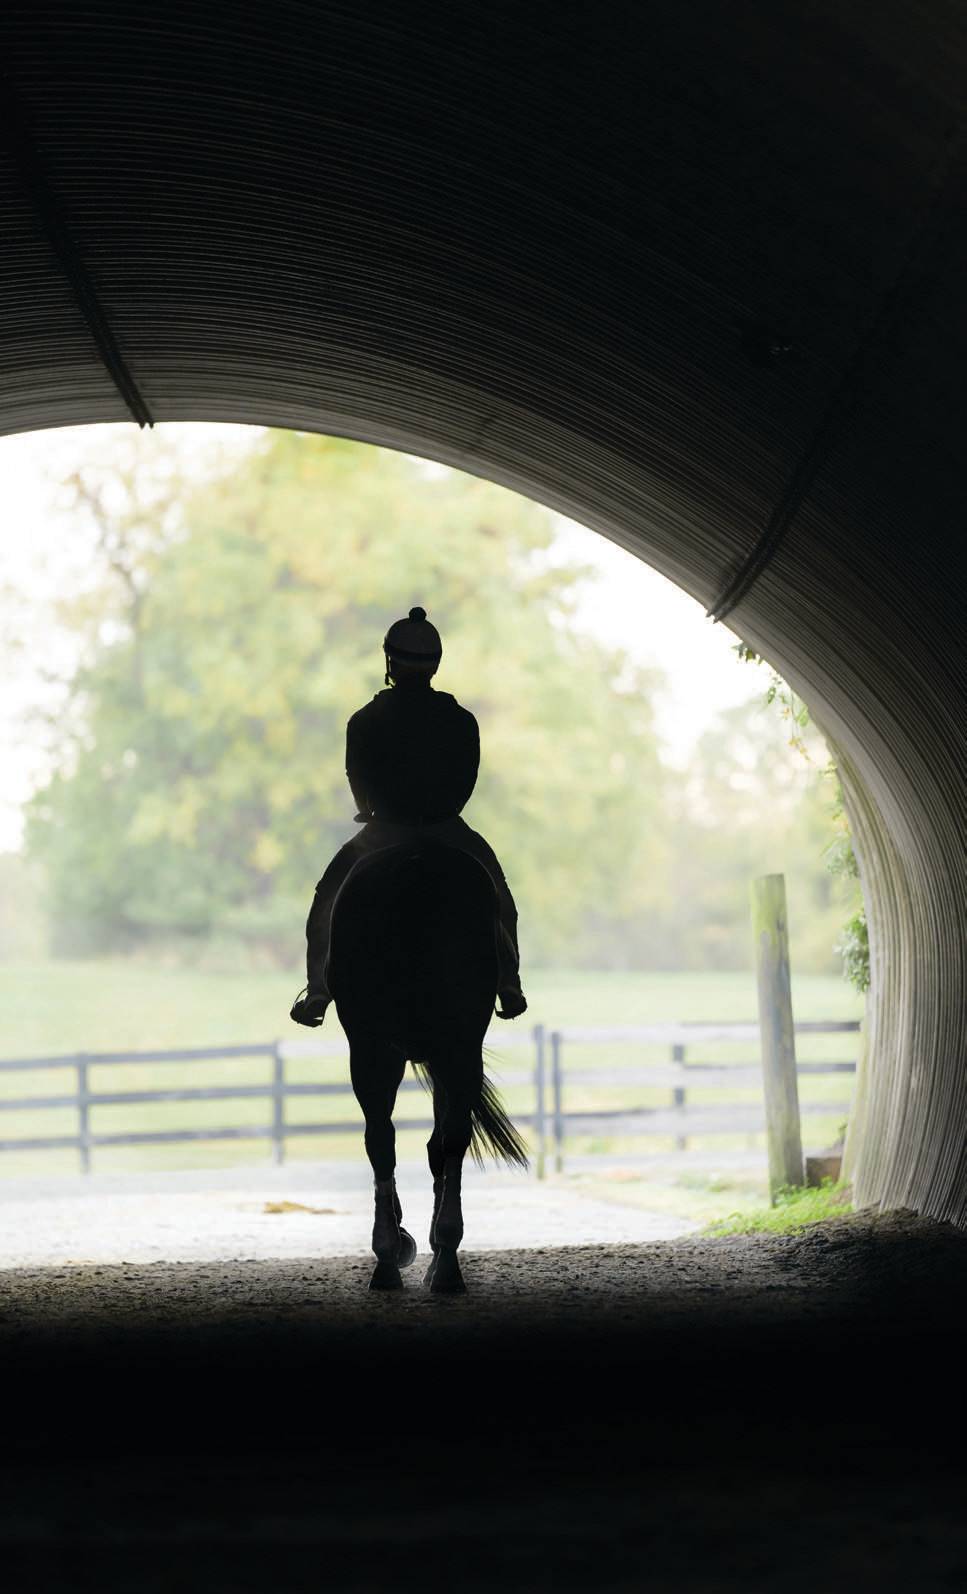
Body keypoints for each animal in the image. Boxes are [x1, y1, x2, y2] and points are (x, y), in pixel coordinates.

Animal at [324, 841, 525, 1287]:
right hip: (437, 1052)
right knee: (412, 1140)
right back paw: (422, 1257)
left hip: (396, 1052)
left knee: (395, 1140)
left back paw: (406, 1256)